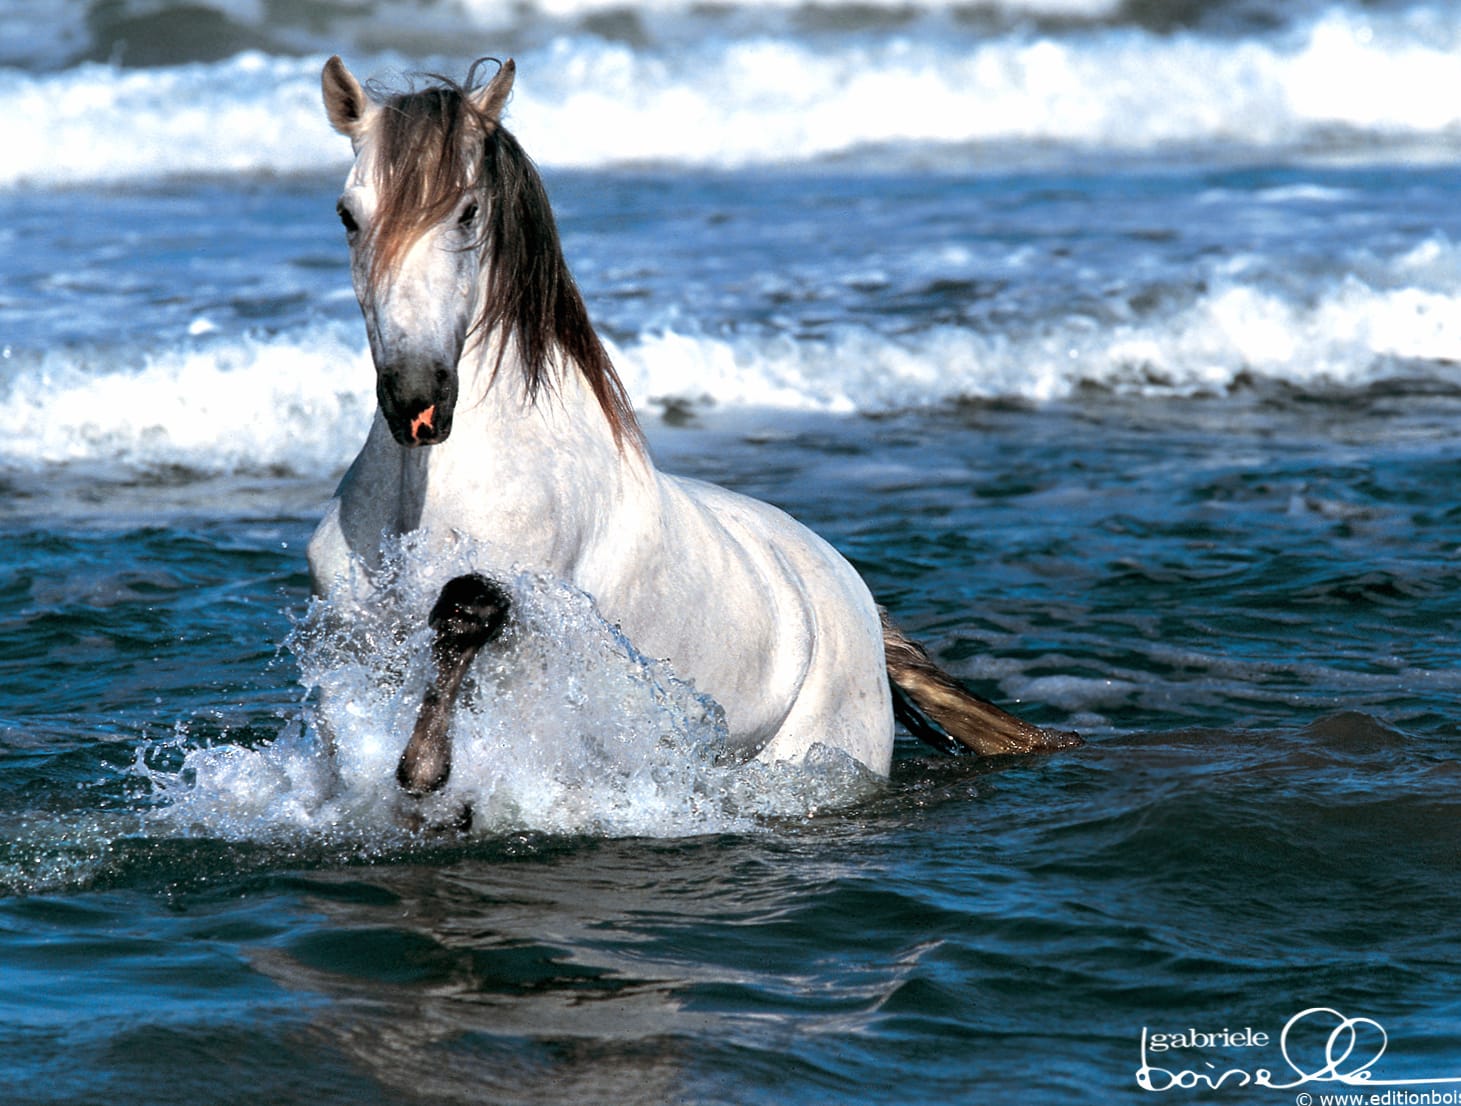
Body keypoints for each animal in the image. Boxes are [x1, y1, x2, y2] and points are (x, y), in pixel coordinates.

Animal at [308, 58, 1075, 794]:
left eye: (467, 213)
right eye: (347, 215)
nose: (416, 398)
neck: (424, 492)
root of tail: (855, 594)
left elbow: (467, 611)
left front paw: (425, 772)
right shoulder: (351, 631)